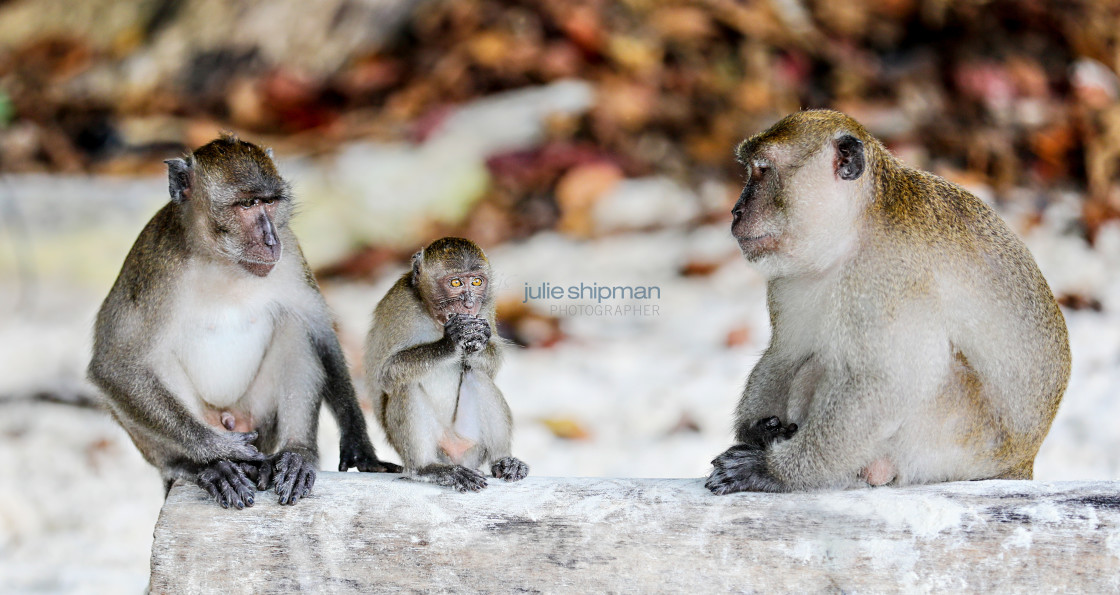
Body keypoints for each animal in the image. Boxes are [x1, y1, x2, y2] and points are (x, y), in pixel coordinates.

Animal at [89, 133, 400, 508]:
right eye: (248, 204)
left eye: (270, 201)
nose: (270, 240)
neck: (221, 260)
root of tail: (230, 417)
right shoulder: (155, 269)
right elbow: (114, 365)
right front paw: (217, 449)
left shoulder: (291, 252)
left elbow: (319, 332)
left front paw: (358, 445)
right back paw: (207, 466)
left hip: (258, 419)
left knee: (293, 327)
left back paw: (296, 455)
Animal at [362, 237, 528, 493]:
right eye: (456, 282)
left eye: (477, 281)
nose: (469, 304)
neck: (435, 318)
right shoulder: (400, 306)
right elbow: (386, 374)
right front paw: (451, 343)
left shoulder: (487, 305)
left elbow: (489, 368)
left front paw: (477, 338)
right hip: (436, 445)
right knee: (406, 385)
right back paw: (428, 468)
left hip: (471, 444)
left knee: (477, 375)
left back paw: (503, 460)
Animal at [703, 109, 1070, 495]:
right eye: (752, 170)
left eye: (762, 170)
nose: (735, 211)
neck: (855, 230)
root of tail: (1022, 462)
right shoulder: (789, 278)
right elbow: (787, 351)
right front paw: (759, 431)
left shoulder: (893, 278)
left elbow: (892, 383)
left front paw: (772, 471)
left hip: (955, 438)